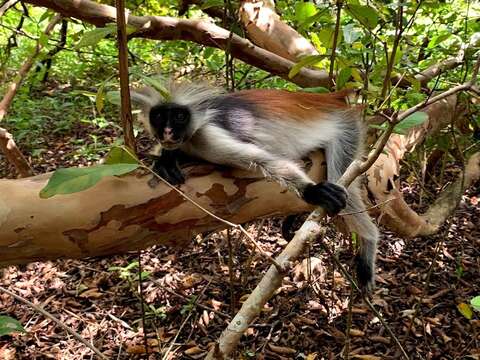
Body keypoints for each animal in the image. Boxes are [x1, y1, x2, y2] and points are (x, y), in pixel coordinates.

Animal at [131, 82, 378, 290]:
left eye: (180, 116)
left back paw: (369, 240)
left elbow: (264, 161)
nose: (167, 132)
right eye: (159, 116)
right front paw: (165, 159)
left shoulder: (207, 136)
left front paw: (313, 191)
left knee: (344, 183)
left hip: (347, 129)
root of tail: (330, 98)